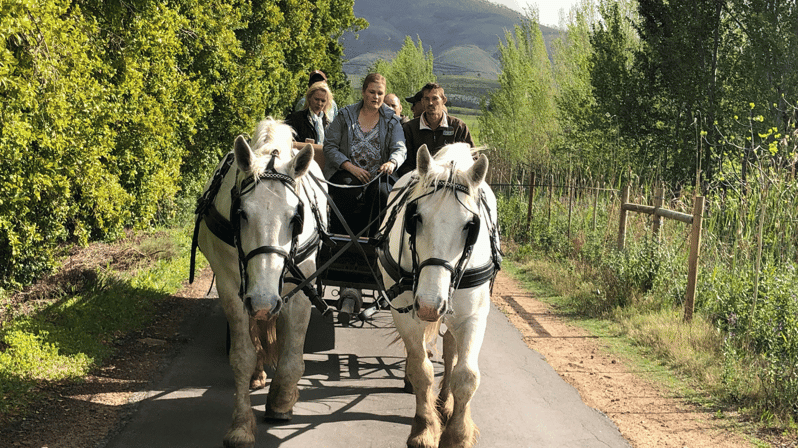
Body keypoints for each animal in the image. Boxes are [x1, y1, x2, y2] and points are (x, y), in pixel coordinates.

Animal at [194, 118, 328, 448]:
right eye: (241, 213)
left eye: (296, 218)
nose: (265, 302)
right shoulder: (232, 288)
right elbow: (242, 355)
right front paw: (241, 426)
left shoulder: (301, 286)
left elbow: (293, 355)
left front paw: (281, 400)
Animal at [380, 144, 504, 448]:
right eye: (415, 217)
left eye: (470, 226)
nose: (428, 305)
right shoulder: (405, 314)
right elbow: (421, 369)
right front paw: (424, 428)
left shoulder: (474, 316)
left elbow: (466, 375)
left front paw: (457, 434)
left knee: (450, 351)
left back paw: (446, 402)